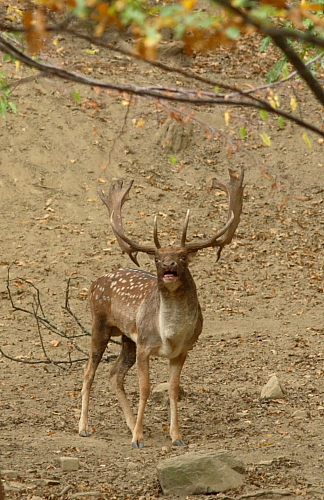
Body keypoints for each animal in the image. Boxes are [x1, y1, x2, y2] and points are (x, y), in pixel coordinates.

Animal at [79, 166, 244, 448]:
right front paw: (137, 439)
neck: (171, 335)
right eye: (156, 258)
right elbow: (145, 389)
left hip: (127, 339)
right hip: (99, 323)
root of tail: (94, 283)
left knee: (114, 375)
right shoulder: (146, 345)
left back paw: (130, 423)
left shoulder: (182, 351)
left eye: (183, 256)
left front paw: (176, 436)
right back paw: (84, 427)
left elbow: (173, 389)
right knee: (89, 371)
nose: (168, 265)